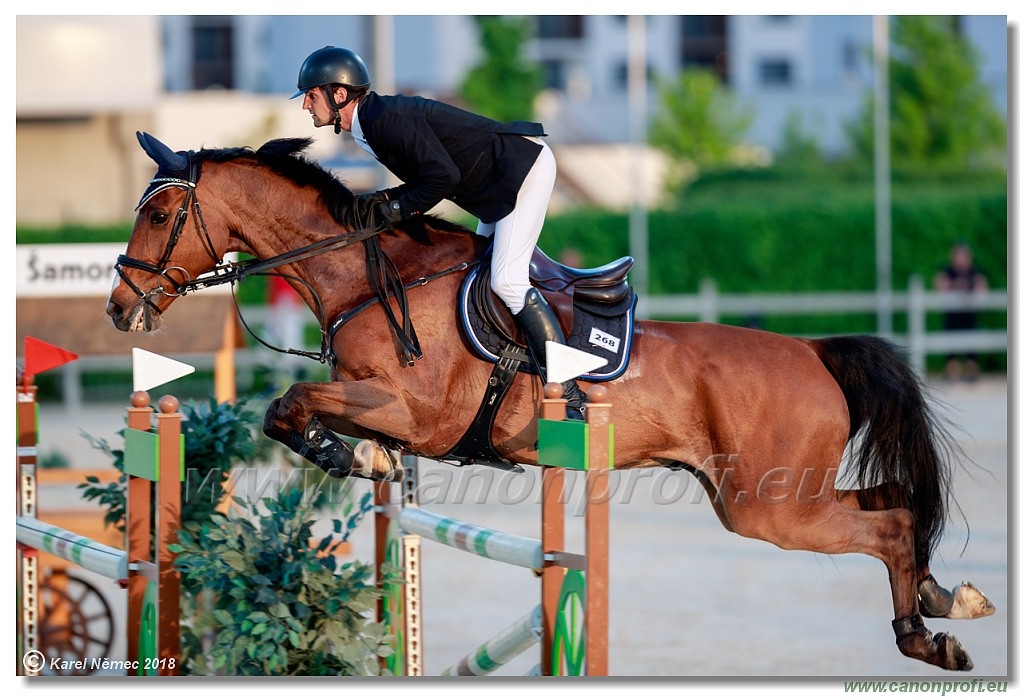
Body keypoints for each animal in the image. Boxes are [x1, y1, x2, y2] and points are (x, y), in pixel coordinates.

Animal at [105, 133, 991, 671]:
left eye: (160, 211)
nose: (119, 309)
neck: (369, 279)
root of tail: (812, 350)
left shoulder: (417, 412)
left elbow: (286, 406)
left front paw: (345, 453)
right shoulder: (387, 408)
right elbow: (297, 411)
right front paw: (364, 458)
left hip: (769, 506)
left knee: (888, 523)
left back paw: (925, 636)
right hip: (771, 495)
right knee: (895, 503)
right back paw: (940, 599)